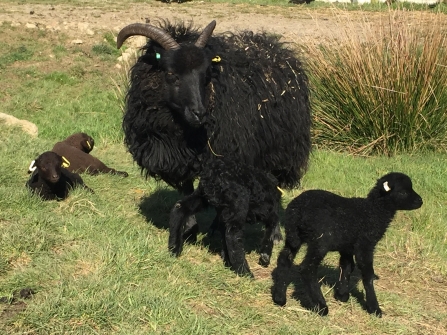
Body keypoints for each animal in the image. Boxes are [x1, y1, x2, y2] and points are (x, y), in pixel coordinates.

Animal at [115, 19, 312, 240]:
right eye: (171, 74)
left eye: (206, 75)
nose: (200, 113)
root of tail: (275, 47)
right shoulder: (180, 157)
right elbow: (187, 189)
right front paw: (190, 228)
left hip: (278, 151)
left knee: (273, 186)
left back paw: (274, 233)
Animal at [272, 173, 424, 318]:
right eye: (403, 192)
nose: (420, 201)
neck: (373, 211)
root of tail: (297, 211)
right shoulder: (365, 245)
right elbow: (367, 274)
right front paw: (374, 308)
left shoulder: (347, 246)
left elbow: (347, 266)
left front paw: (342, 295)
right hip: (320, 241)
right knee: (307, 268)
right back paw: (321, 306)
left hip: (293, 236)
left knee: (285, 259)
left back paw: (279, 298)